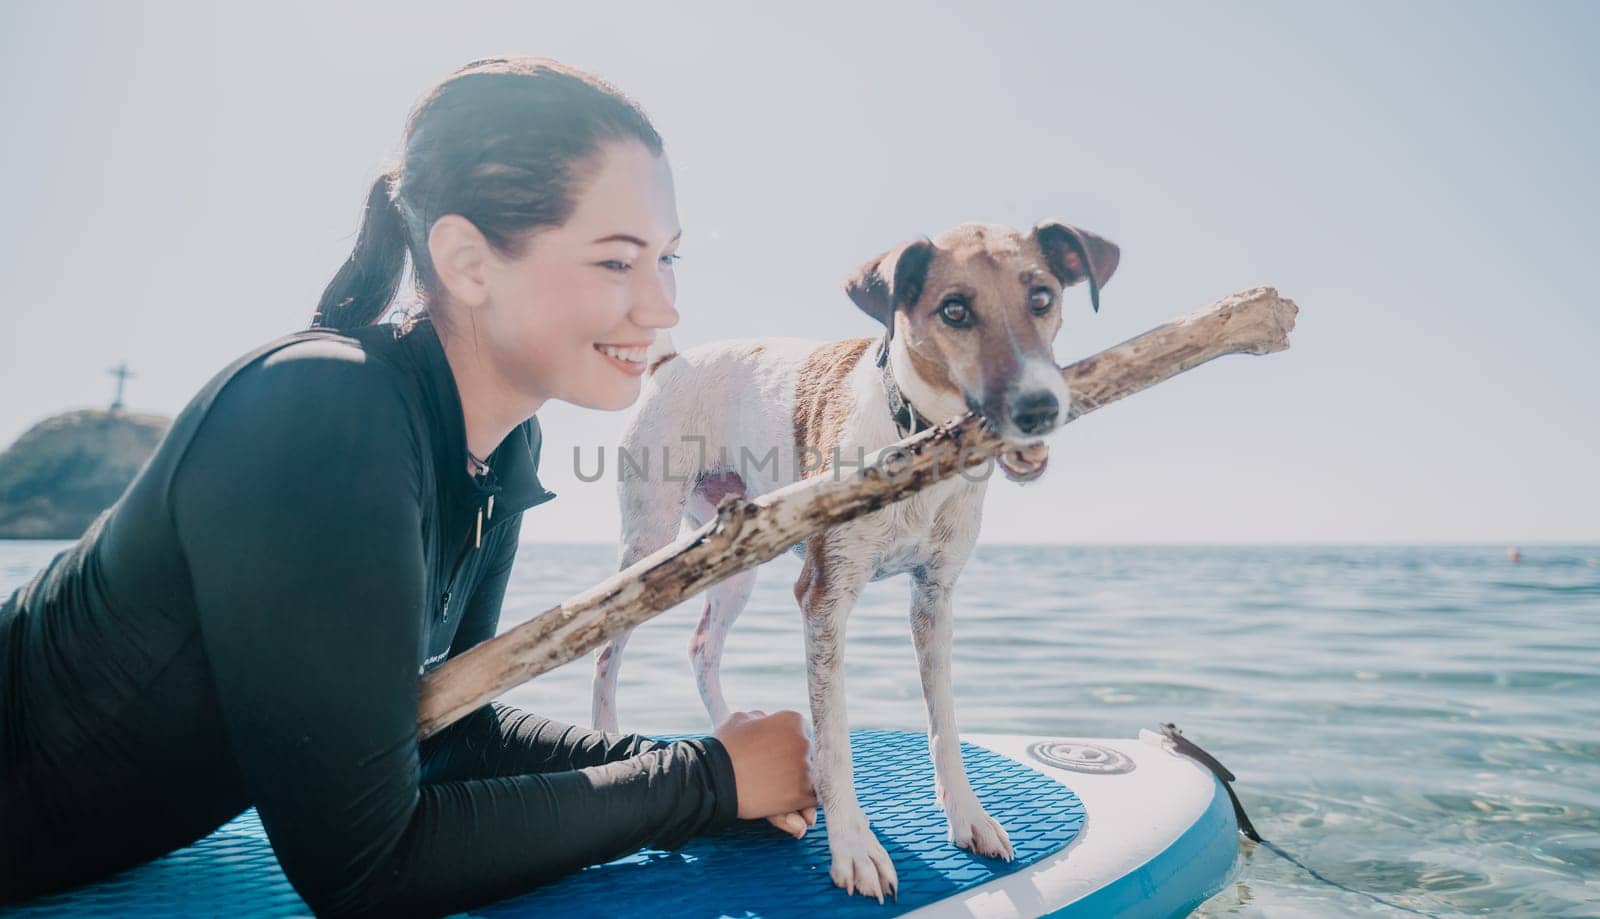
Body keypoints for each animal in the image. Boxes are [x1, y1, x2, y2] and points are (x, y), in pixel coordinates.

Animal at [588, 220, 1113, 902]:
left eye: (1043, 297)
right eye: (954, 310)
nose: (1040, 408)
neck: (917, 439)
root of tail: (670, 361)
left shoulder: (934, 598)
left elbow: (945, 721)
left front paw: (968, 817)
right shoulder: (824, 598)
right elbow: (835, 736)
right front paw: (853, 848)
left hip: (734, 559)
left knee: (702, 647)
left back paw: (732, 728)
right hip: (648, 551)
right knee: (605, 653)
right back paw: (607, 733)